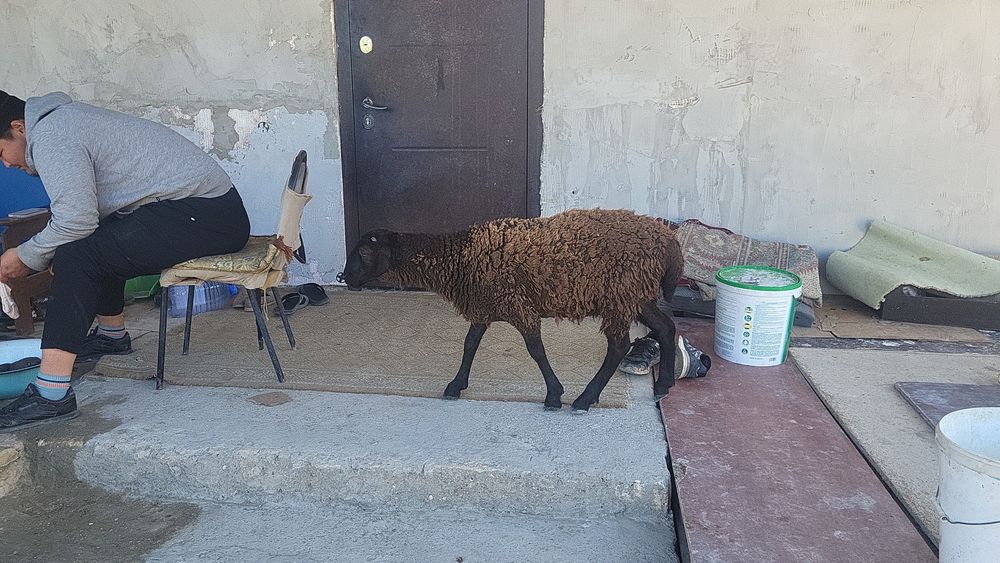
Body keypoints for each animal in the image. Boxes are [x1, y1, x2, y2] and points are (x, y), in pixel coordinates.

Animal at [337, 208, 684, 412]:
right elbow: (469, 345)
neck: (459, 257)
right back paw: (663, 385)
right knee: (665, 328)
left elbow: (536, 351)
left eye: (363, 251)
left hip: (620, 294)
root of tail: (669, 239)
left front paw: (554, 395)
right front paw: (455, 386)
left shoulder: (518, 305)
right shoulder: (483, 306)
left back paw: (585, 399)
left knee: (619, 346)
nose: (345, 277)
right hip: (635, 295)